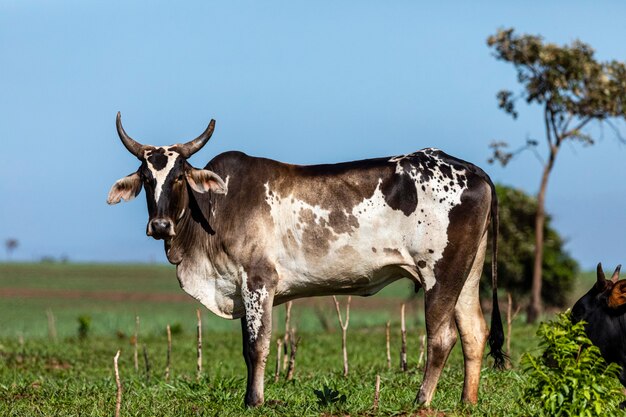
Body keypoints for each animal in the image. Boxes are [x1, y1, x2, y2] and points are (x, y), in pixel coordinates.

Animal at [107, 113, 504, 406]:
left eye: (177, 177)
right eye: (146, 177)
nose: (160, 225)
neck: (212, 211)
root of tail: (473, 171)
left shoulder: (259, 281)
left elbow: (257, 345)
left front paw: (255, 401)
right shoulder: (241, 286)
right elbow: (247, 347)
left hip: (439, 274)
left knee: (441, 337)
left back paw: (421, 401)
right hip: (467, 274)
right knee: (473, 332)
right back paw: (467, 403)